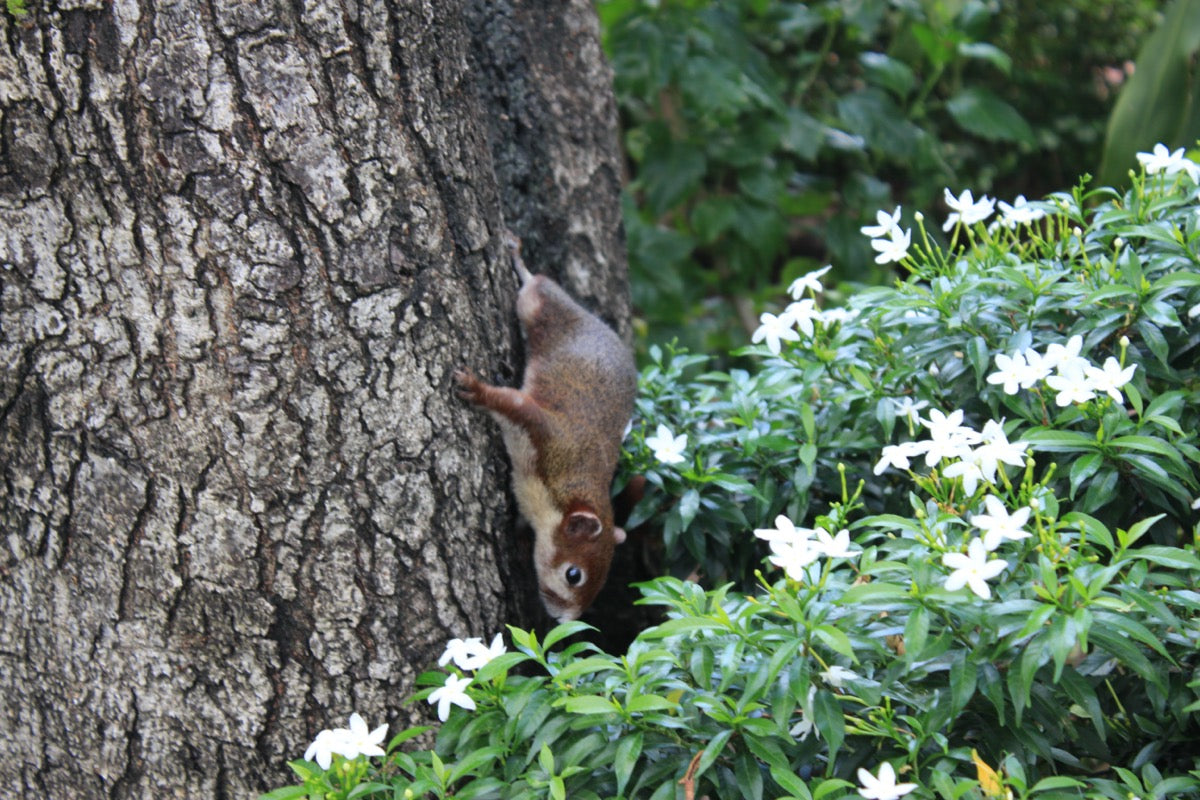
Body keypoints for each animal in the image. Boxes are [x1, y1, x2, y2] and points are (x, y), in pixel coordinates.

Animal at [453, 227, 638, 623]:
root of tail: (590, 320)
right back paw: (518, 259)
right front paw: (476, 389)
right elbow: (511, 404)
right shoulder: (547, 433)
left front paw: (521, 535)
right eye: (573, 575)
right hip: (542, 308)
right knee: (535, 286)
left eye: (602, 582)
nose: (564, 621)